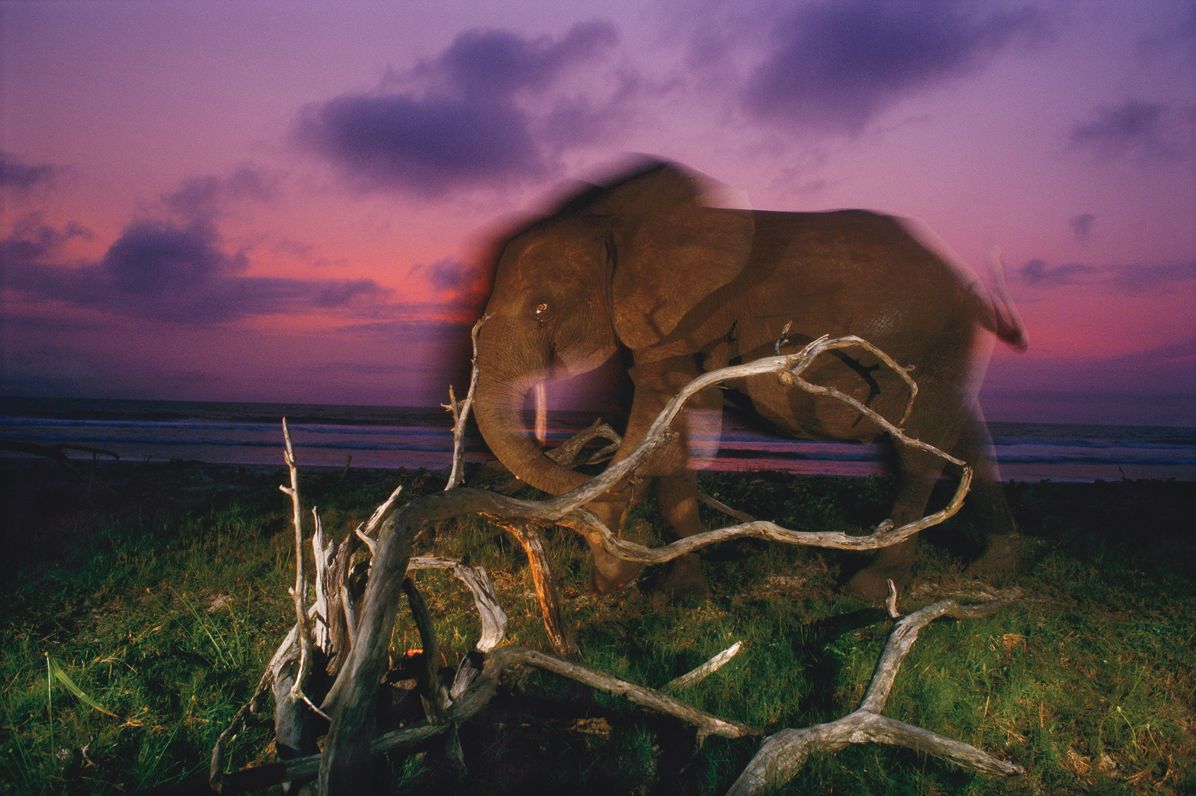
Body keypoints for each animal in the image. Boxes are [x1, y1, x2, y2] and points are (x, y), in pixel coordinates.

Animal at [472, 159, 1027, 600]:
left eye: (542, 310)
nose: (606, 581)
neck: (610, 222)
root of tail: (970, 285)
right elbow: (668, 429)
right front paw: (668, 589)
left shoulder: (683, 320)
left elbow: (664, 421)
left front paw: (637, 573)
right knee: (969, 441)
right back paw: (994, 567)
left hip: (931, 347)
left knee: (919, 453)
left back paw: (871, 587)